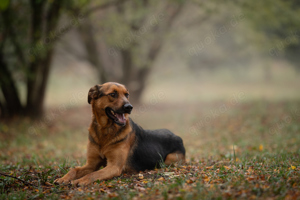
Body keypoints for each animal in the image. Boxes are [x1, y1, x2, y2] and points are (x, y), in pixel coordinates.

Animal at [54, 81, 185, 186]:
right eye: (113, 94)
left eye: (127, 95)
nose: (129, 107)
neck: (105, 131)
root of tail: (177, 136)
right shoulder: (92, 164)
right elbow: (74, 169)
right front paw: (63, 178)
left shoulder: (114, 166)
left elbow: (94, 174)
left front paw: (80, 180)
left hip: (170, 159)